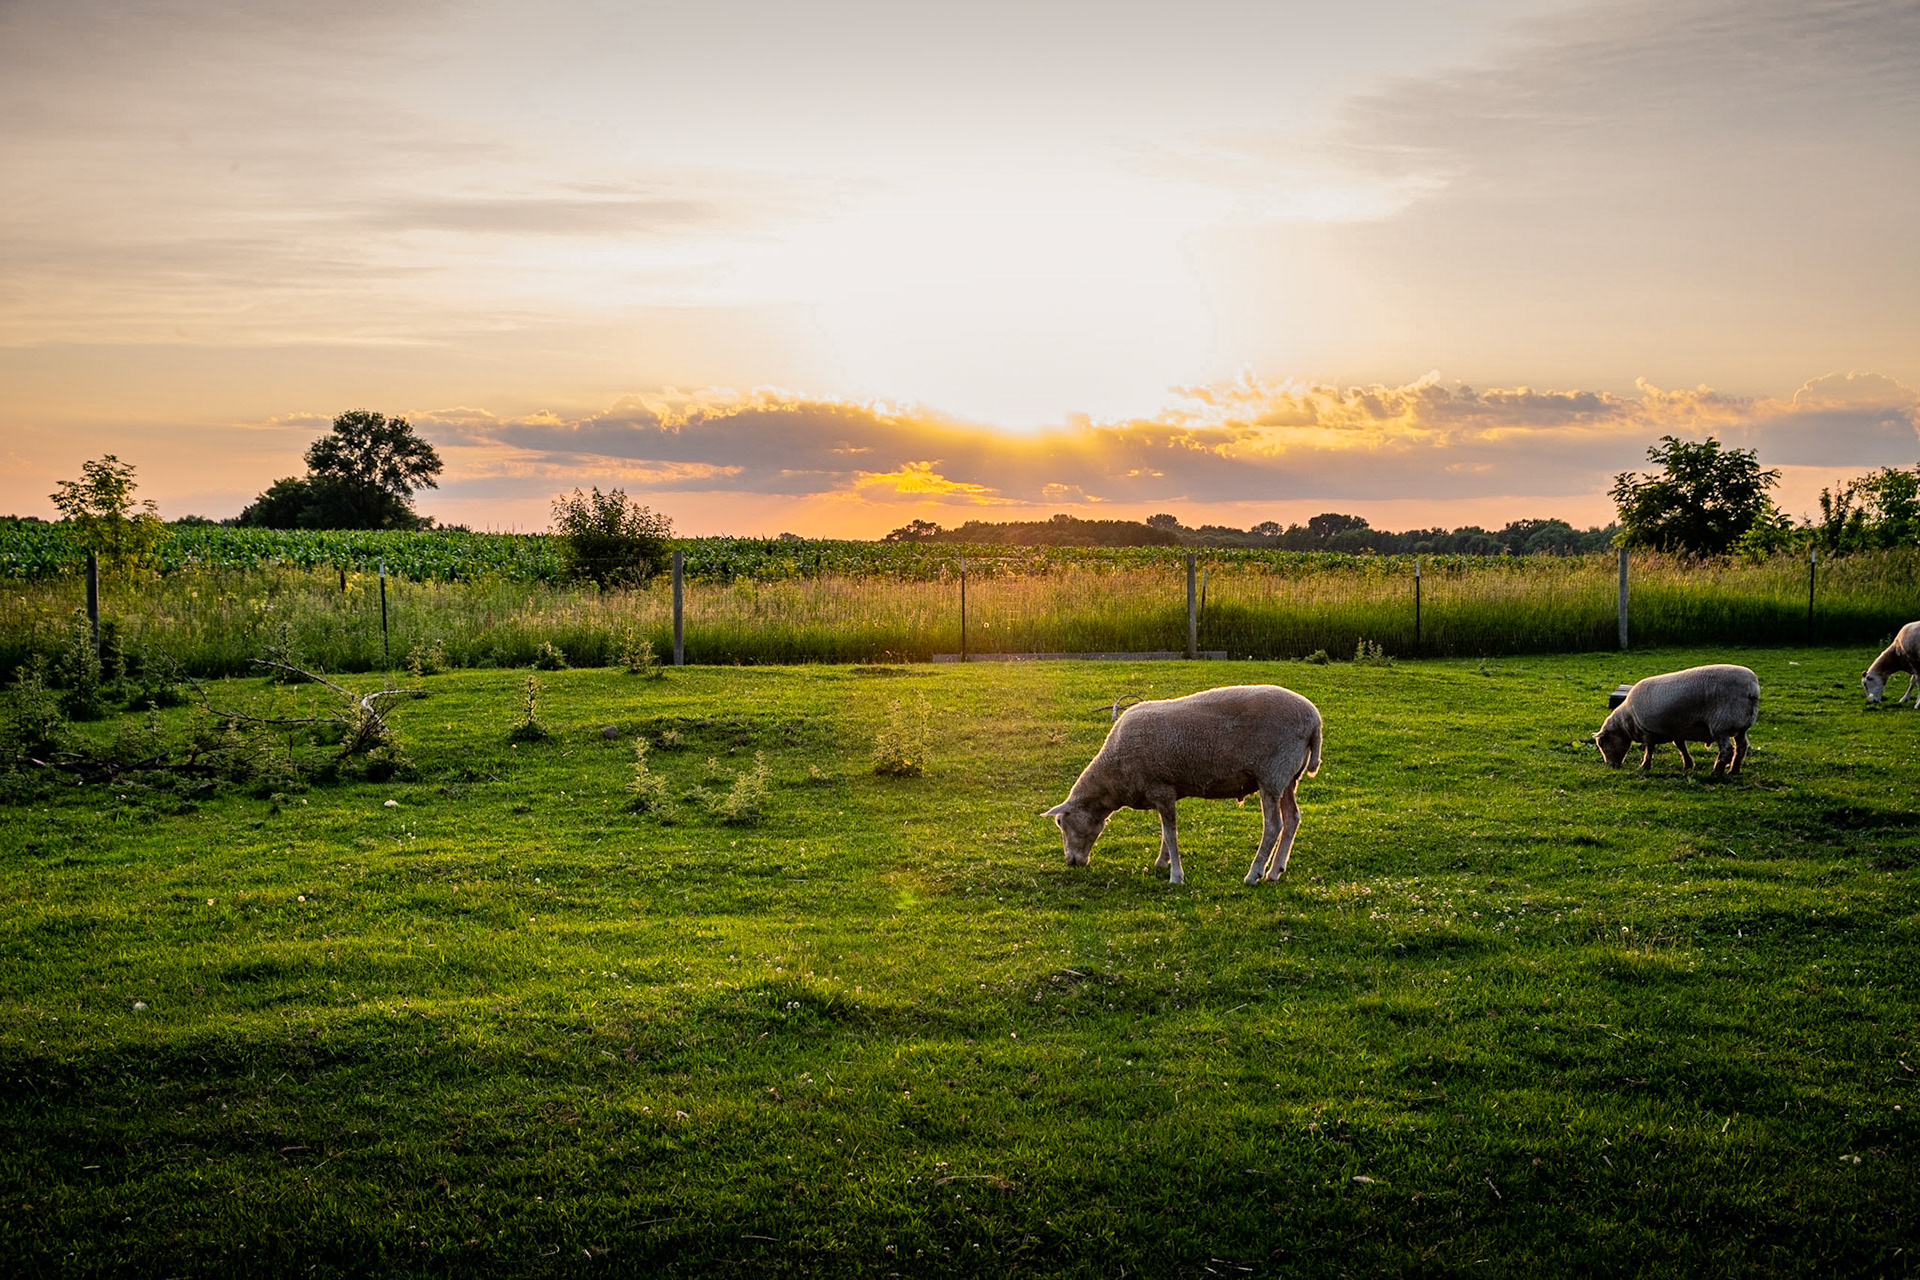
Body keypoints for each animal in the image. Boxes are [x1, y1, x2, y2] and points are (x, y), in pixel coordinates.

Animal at [1043, 684, 1322, 886]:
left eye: (1060, 822)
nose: (1071, 861)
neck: (1113, 775)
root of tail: (1315, 721)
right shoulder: (1167, 793)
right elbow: (1165, 832)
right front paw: (1162, 862)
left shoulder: (1161, 787)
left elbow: (1170, 833)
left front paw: (1175, 876)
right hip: (1288, 777)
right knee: (1292, 818)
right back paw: (1275, 871)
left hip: (1272, 774)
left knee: (1273, 825)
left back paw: (1254, 874)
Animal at [1592, 663, 1759, 777]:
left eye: (1602, 743)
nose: (1611, 765)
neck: (1627, 720)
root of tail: (1752, 687)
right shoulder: (1676, 730)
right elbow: (1681, 747)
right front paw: (1688, 764)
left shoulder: (1647, 730)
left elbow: (1649, 749)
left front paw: (1645, 766)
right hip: (1742, 726)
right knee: (1742, 747)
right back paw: (1734, 770)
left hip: (1721, 725)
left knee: (1727, 750)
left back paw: (1717, 771)